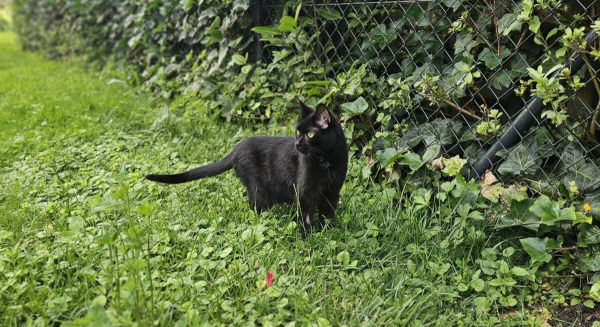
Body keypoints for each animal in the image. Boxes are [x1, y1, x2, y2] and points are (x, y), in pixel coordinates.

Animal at [145, 101, 350, 237]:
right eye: (298, 132)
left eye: (310, 134)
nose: (297, 144)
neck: (326, 161)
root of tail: (235, 149)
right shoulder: (305, 193)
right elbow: (306, 218)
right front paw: (308, 240)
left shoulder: (333, 190)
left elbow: (328, 214)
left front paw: (328, 232)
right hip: (259, 190)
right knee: (254, 206)